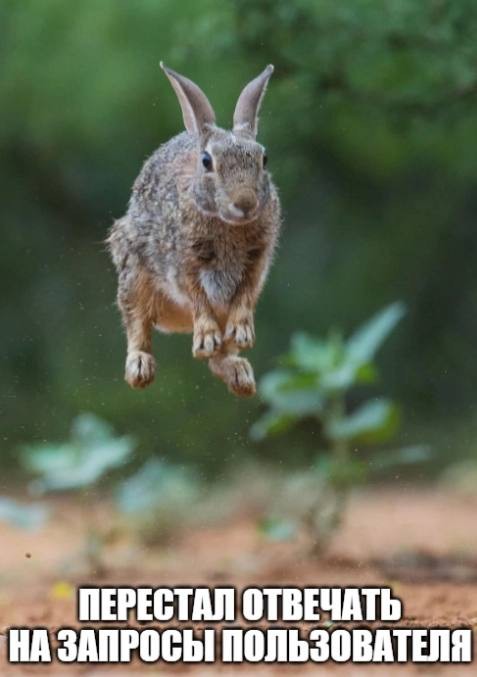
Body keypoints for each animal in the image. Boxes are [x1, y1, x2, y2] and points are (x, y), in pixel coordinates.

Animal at [106, 63, 280, 396]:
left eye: (263, 159)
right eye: (207, 161)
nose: (245, 203)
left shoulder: (257, 261)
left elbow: (245, 295)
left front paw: (242, 332)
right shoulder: (183, 262)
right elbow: (197, 296)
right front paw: (206, 337)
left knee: (217, 360)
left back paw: (240, 376)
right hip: (134, 272)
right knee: (137, 323)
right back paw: (140, 369)